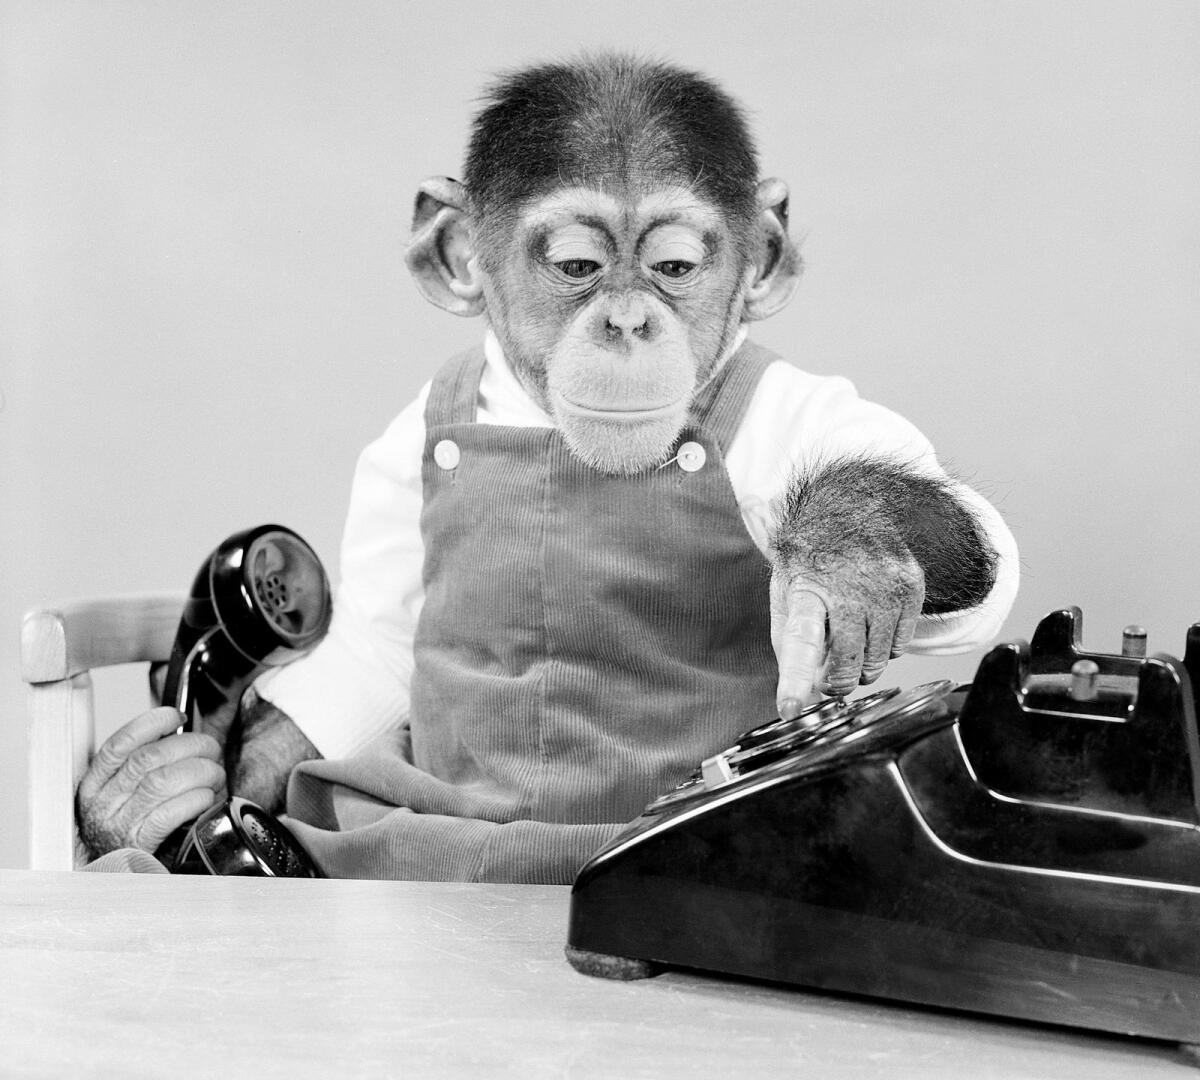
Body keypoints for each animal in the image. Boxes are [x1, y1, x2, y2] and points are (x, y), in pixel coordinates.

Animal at [77, 53, 1018, 880]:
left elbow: (962, 549)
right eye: (577, 266)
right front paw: (142, 790)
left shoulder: (797, 408)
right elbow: (372, 646)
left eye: (675, 266)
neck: (546, 433)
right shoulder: (389, 453)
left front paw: (847, 552)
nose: (628, 322)